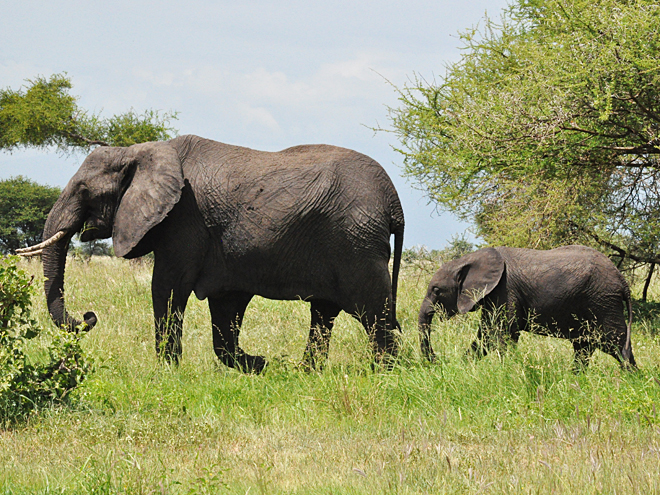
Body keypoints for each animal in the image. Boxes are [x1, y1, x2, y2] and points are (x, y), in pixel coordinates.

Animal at [18, 134, 404, 374]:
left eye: (84, 190)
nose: (88, 316)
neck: (139, 151)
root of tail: (393, 202)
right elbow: (224, 310)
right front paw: (260, 364)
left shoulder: (183, 220)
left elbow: (167, 287)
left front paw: (167, 371)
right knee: (325, 314)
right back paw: (306, 372)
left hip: (356, 243)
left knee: (375, 314)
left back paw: (385, 373)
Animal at [420, 246, 636, 370]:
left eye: (436, 290)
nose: (436, 360)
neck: (469, 259)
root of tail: (622, 281)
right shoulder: (494, 295)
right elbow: (486, 335)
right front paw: (463, 367)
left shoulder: (505, 290)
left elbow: (503, 334)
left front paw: (505, 371)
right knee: (585, 346)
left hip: (602, 301)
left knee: (615, 343)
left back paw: (632, 378)